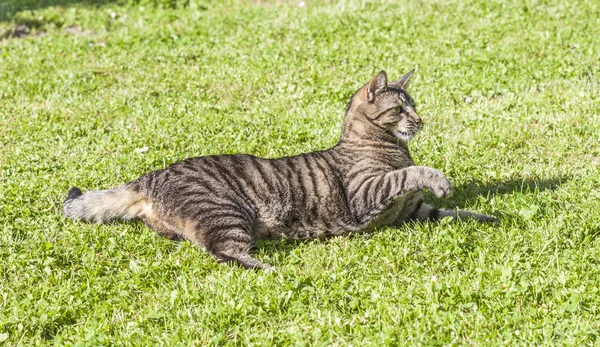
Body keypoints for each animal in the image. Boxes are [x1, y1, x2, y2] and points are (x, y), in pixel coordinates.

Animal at [63, 70, 500, 270]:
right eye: (401, 109)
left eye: (414, 106)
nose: (421, 120)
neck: (391, 147)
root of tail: (150, 177)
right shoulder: (368, 194)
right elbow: (414, 173)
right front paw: (437, 177)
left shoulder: (413, 213)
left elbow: (453, 211)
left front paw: (486, 216)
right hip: (227, 214)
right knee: (224, 253)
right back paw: (271, 268)